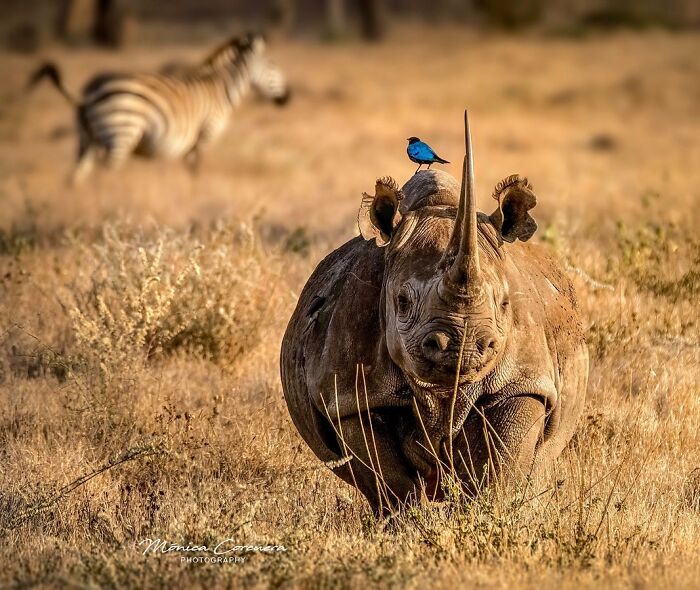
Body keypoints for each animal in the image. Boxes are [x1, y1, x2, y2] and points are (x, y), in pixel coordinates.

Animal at [29, 32, 291, 183]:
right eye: (272, 64)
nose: (287, 97)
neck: (220, 87)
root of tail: (90, 90)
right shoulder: (204, 134)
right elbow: (196, 171)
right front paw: (195, 194)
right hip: (122, 132)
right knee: (105, 175)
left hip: (85, 139)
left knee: (76, 177)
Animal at [281, 112, 588, 513]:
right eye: (402, 302)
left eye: (506, 303)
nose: (463, 348)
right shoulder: (351, 396)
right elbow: (389, 479)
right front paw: (409, 521)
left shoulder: (525, 380)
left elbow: (502, 467)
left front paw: (485, 517)